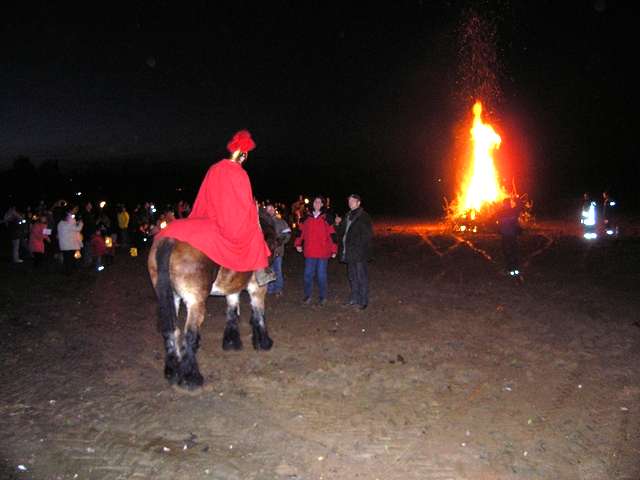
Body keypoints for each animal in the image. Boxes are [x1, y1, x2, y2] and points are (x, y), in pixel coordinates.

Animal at [150, 218, 280, 390]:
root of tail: (170, 240)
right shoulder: (257, 288)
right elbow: (259, 314)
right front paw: (263, 342)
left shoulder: (232, 288)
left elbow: (232, 313)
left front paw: (231, 342)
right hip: (195, 301)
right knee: (189, 334)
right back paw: (191, 378)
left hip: (171, 298)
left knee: (171, 331)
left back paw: (172, 370)